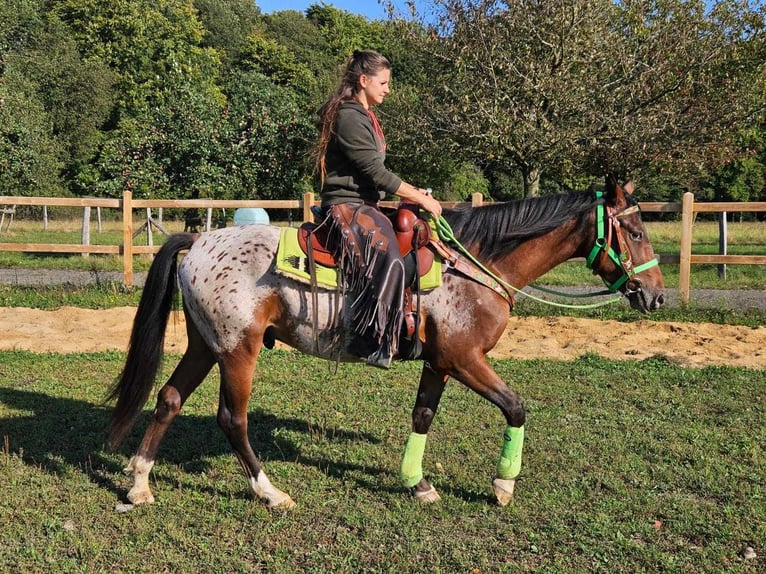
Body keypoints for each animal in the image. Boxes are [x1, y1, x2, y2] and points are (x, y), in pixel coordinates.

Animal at [106, 180, 664, 508]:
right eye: (635, 231)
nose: (657, 295)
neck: (475, 264)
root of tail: (199, 241)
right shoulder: (465, 359)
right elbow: (516, 406)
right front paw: (504, 485)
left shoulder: (439, 363)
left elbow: (422, 416)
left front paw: (417, 482)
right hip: (238, 351)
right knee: (232, 419)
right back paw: (270, 492)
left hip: (207, 345)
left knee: (169, 399)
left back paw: (139, 484)